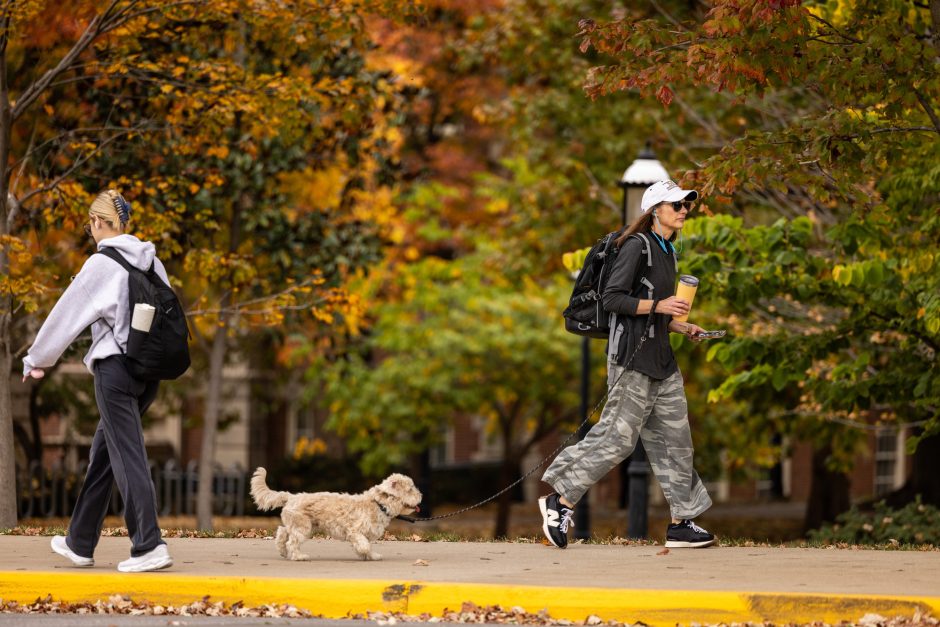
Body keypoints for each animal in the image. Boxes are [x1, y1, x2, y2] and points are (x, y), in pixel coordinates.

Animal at [252, 468, 424, 560]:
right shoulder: (355, 532)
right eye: (410, 489)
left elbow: (368, 547)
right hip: (303, 527)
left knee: (282, 532)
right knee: (291, 542)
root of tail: (291, 496)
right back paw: (298, 556)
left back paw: (282, 551)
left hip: (296, 524)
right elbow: (364, 545)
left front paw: (372, 556)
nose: (421, 495)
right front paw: (365, 553)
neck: (378, 504)